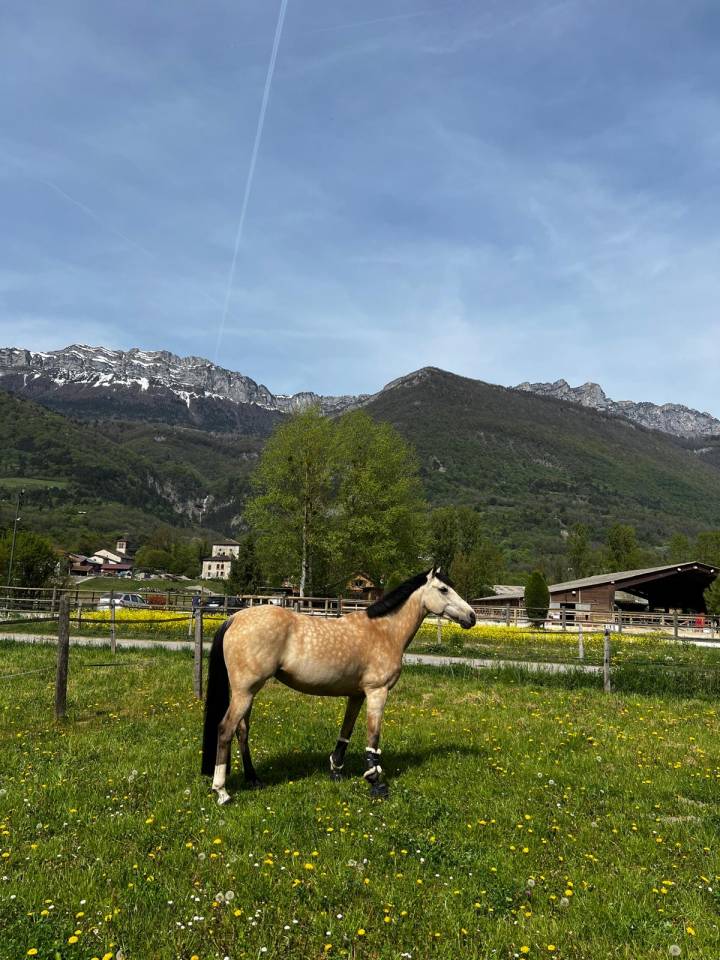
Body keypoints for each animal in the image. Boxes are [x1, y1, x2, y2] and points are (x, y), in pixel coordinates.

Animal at [200, 567, 476, 803]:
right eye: (443, 589)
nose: (472, 616)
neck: (383, 631)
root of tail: (235, 618)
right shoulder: (377, 692)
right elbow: (373, 738)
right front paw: (375, 782)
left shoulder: (357, 695)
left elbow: (346, 732)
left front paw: (336, 769)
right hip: (244, 692)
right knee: (225, 730)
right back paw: (222, 791)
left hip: (248, 693)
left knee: (242, 731)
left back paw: (254, 779)